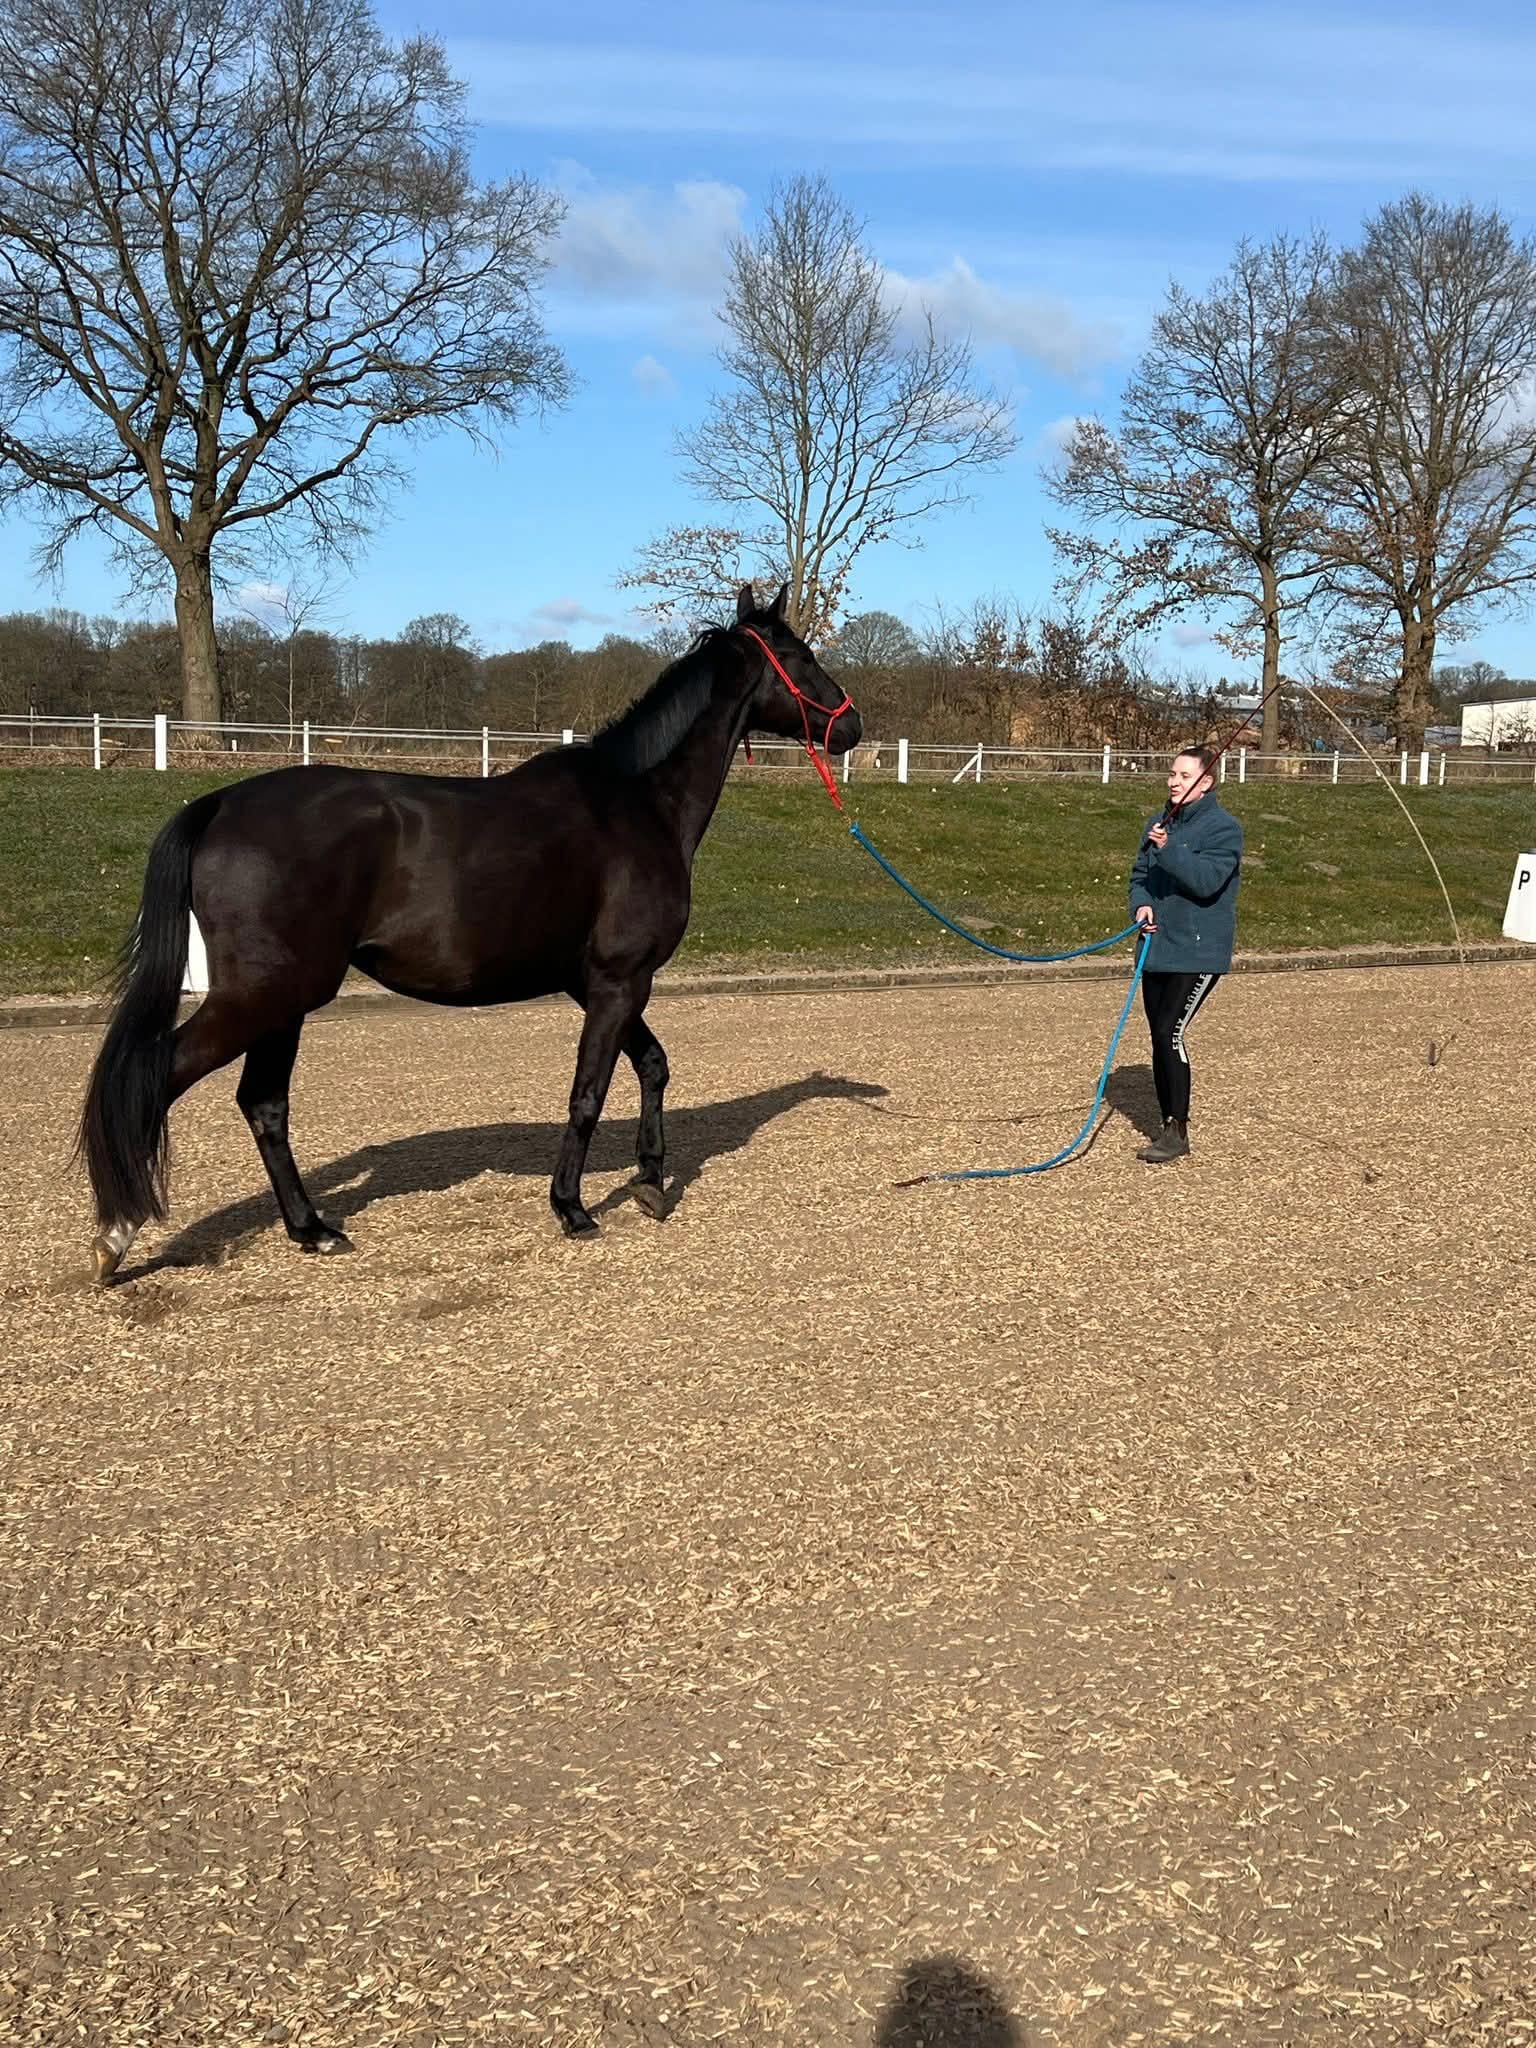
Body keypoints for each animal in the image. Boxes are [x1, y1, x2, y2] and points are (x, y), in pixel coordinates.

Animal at [80, 585, 862, 1281]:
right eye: (802, 654)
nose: (851, 726)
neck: (640, 802)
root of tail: (218, 804)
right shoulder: (619, 980)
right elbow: (588, 1093)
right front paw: (573, 1207)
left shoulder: (596, 984)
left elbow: (653, 1066)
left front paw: (650, 1179)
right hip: (264, 997)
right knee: (159, 1080)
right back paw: (117, 1234)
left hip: (283, 1005)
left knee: (264, 1105)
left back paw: (312, 1228)